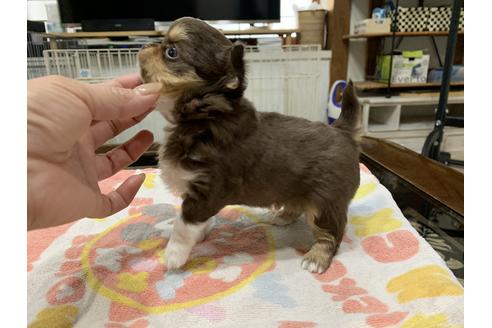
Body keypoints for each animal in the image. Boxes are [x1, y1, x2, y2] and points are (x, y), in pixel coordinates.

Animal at [138, 18, 362, 274]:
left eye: (171, 52)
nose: (145, 45)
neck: (205, 118)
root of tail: (342, 131)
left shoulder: (207, 192)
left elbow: (183, 225)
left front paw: (174, 255)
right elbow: (196, 223)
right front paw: (201, 234)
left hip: (325, 203)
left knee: (331, 233)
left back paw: (316, 257)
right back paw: (282, 216)